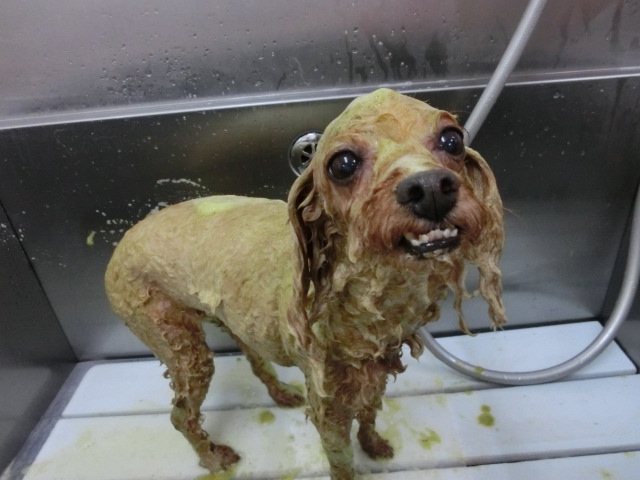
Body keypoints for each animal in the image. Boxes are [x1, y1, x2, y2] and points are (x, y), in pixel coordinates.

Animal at [105, 88, 506, 480]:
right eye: (343, 164)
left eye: (453, 139)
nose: (429, 187)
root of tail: (124, 241)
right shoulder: (328, 404)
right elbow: (342, 463)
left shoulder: (375, 368)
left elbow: (370, 413)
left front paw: (373, 444)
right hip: (176, 343)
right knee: (180, 414)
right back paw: (213, 458)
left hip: (232, 318)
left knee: (254, 359)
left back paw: (280, 393)